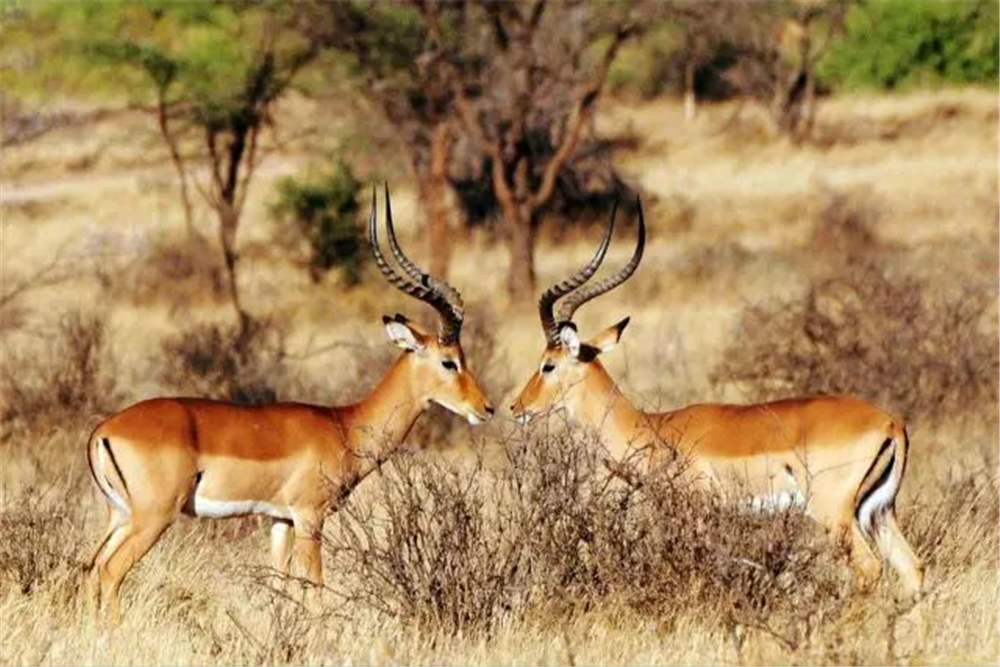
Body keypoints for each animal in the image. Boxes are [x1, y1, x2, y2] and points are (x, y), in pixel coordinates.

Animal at [83, 187, 496, 620]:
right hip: (153, 517)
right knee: (111, 571)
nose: (486, 408)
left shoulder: (279, 519)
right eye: (449, 361)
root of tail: (104, 430)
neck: (344, 425)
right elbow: (314, 591)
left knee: (91, 568)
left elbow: (280, 588)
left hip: (120, 516)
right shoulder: (309, 517)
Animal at [512, 201, 924, 596]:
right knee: (913, 569)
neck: (652, 428)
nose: (517, 408)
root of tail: (891, 422)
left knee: (871, 570)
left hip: (834, 515)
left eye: (548, 365)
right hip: (879, 512)